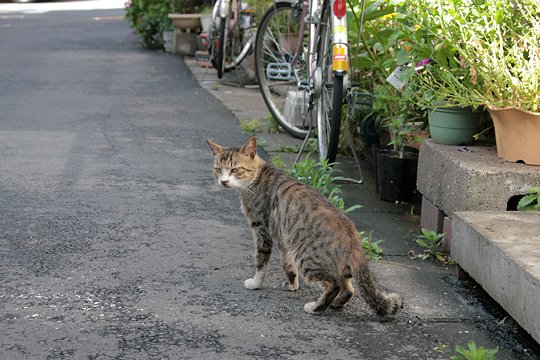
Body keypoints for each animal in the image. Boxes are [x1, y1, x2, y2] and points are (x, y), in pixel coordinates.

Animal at [205, 136, 402, 316]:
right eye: (218, 169)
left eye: (235, 169)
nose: (223, 181)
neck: (256, 179)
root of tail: (354, 238)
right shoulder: (284, 239)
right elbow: (287, 264)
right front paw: (291, 284)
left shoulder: (262, 230)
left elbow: (261, 262)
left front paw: (255, 283)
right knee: (348, 289)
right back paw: (336, 303)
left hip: (307, 258)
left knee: (333, 285)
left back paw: (315, 308)